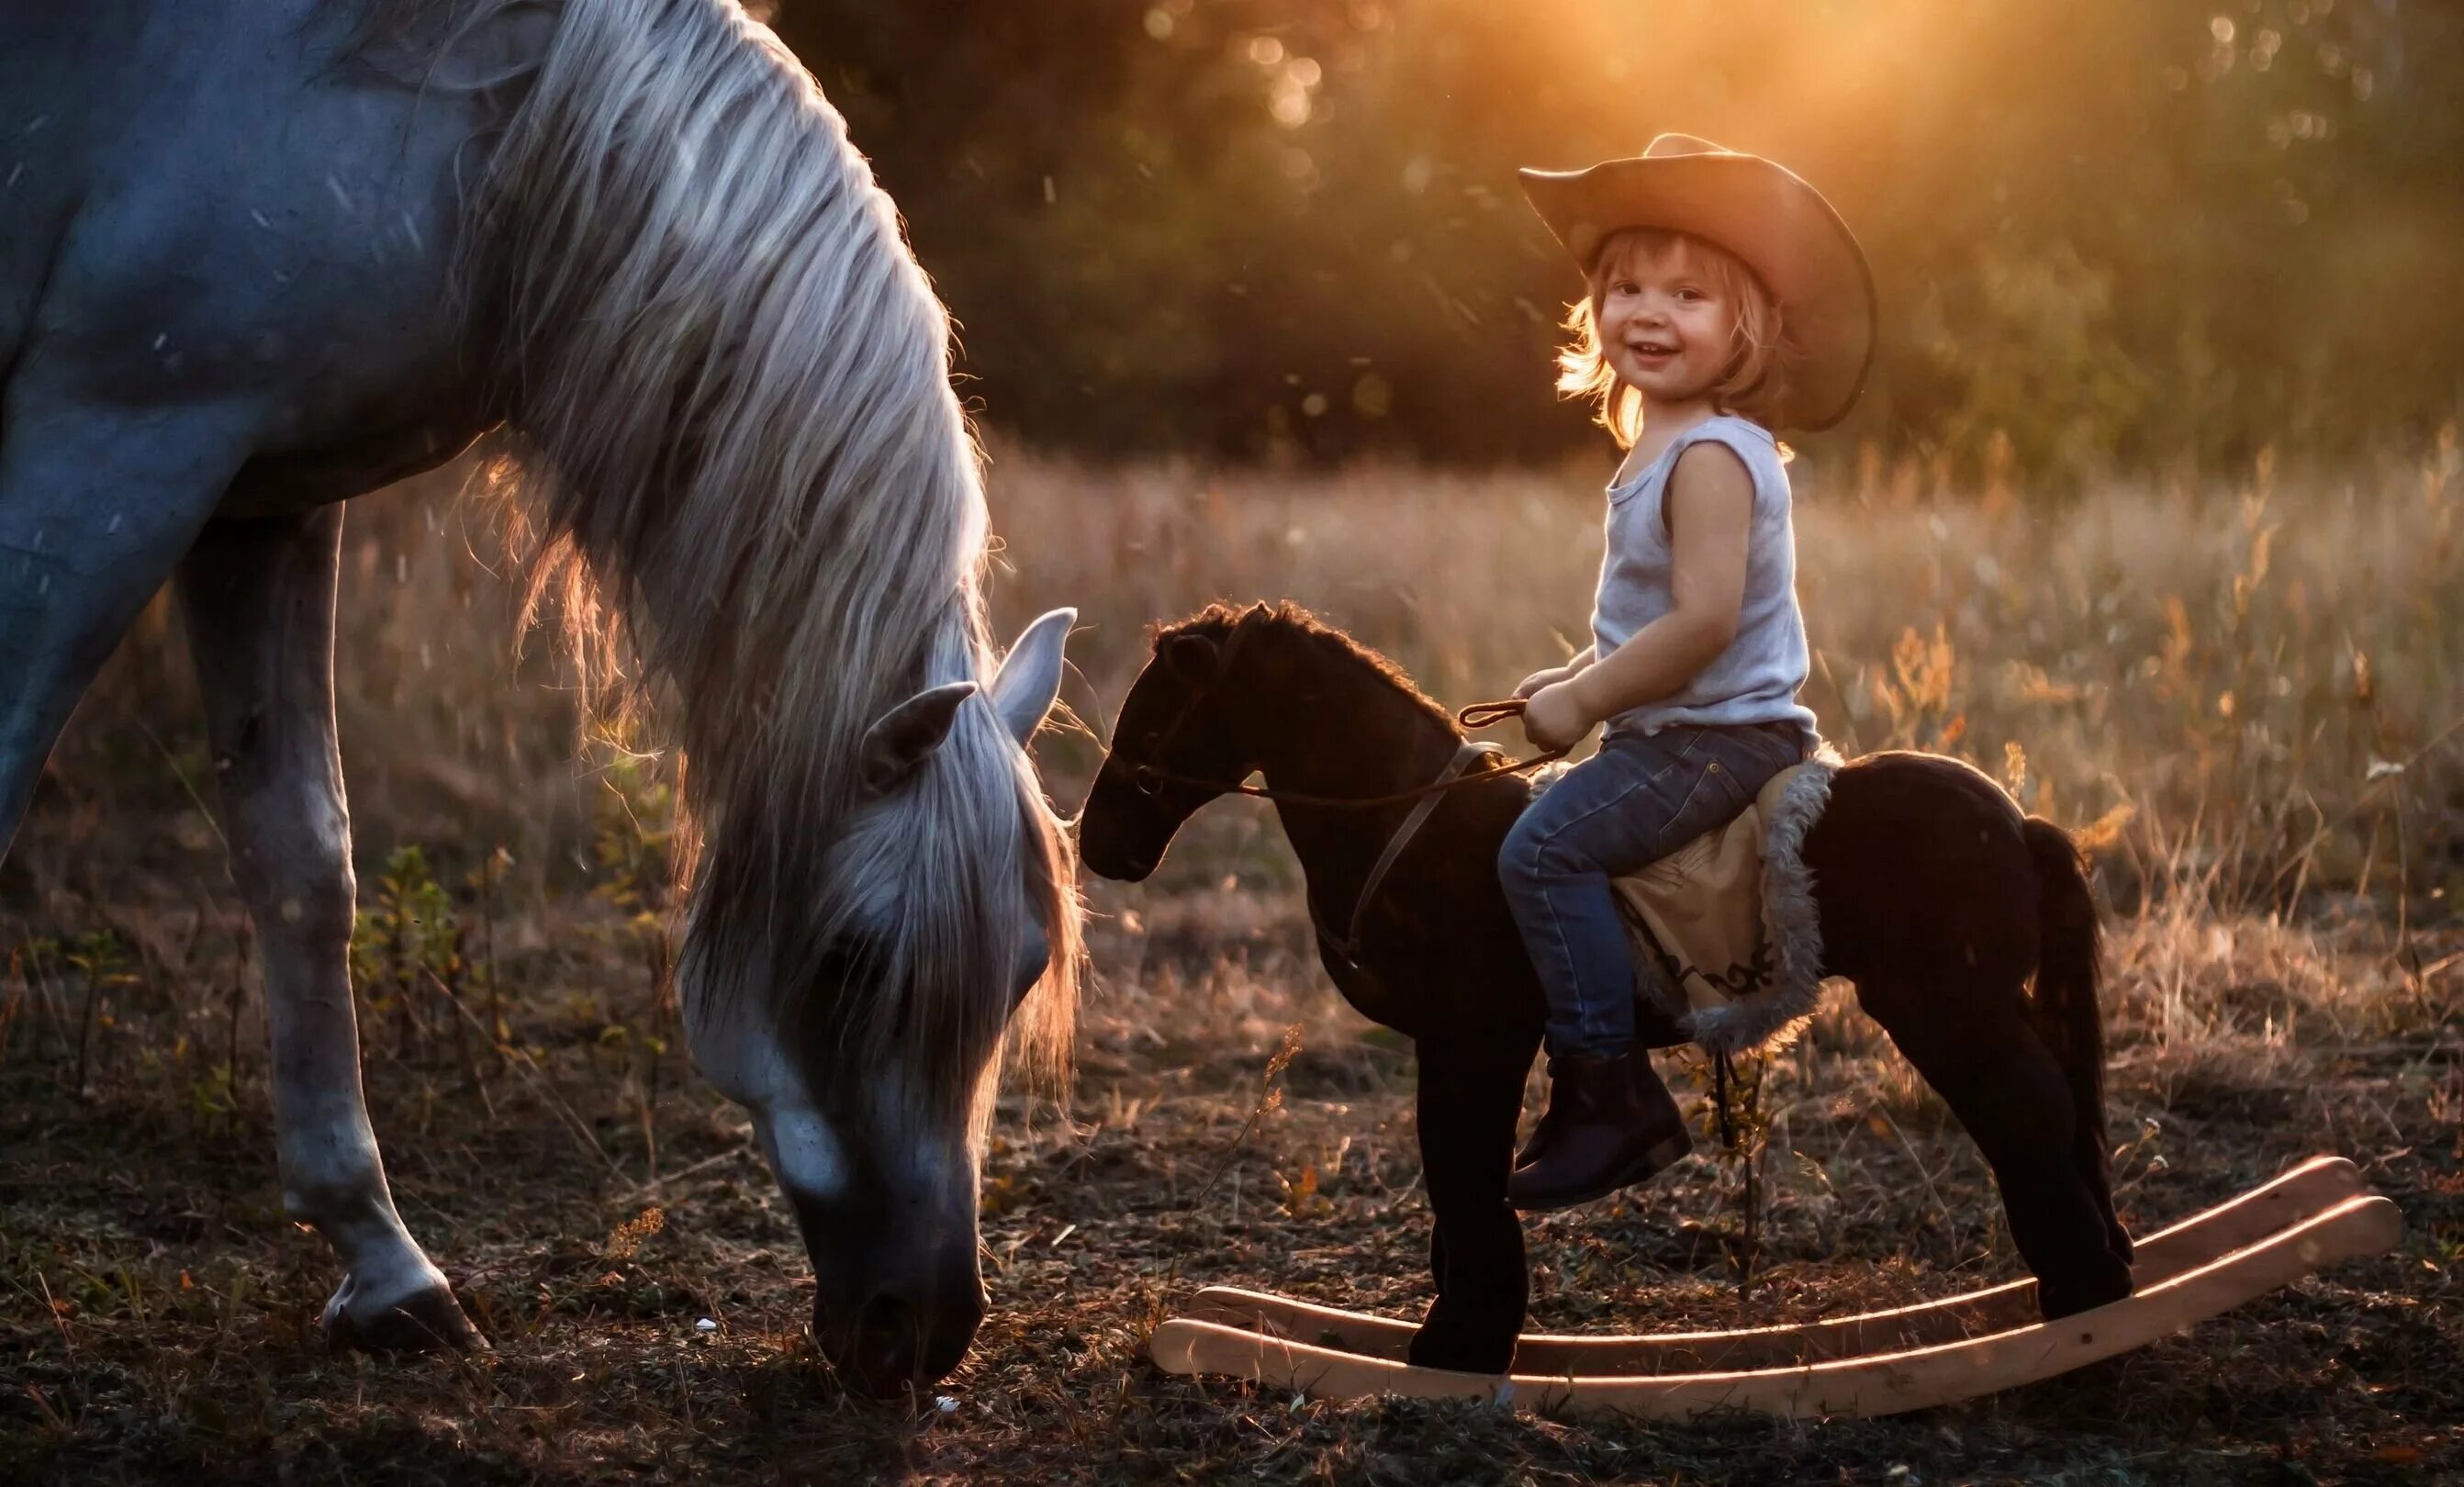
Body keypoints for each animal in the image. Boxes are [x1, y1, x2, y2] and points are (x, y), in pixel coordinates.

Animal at [2, 0, 1079, 1398]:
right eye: (851, 960)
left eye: (1024, 968)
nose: (925, 1331)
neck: (467, 132)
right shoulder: (114, 441)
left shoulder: (260, 492)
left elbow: (302, 859)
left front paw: (388, 1274)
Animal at [1083, 603, 2138, 1369]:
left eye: (1157, 712)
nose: (1100, 845)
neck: (1411, 830)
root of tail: (2019, 823)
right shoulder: (1463, 1043)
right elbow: (1456, 1175)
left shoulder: (1474, 1038)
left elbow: (1462, 1171)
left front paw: (1459, 1343)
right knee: (2053, 1112)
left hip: (1945, 1008)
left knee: (2029, 1115)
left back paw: (2083, 1307)